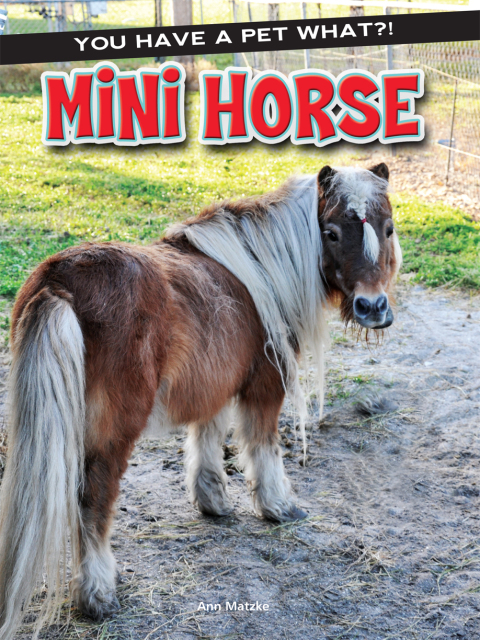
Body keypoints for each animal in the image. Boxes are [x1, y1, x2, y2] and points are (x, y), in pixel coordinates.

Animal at [0, 162, 401, 639]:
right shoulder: (266, 384)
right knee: (93, 500)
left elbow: (207, 436)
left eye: (389, 228)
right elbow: (263, 446)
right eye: (333, 232)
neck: (264, 268)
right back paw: (98, 593)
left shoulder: (215, 382)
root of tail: (59, 282)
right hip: (113, 431)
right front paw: (278, 506)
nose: (373, 308)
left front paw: (213, 502)